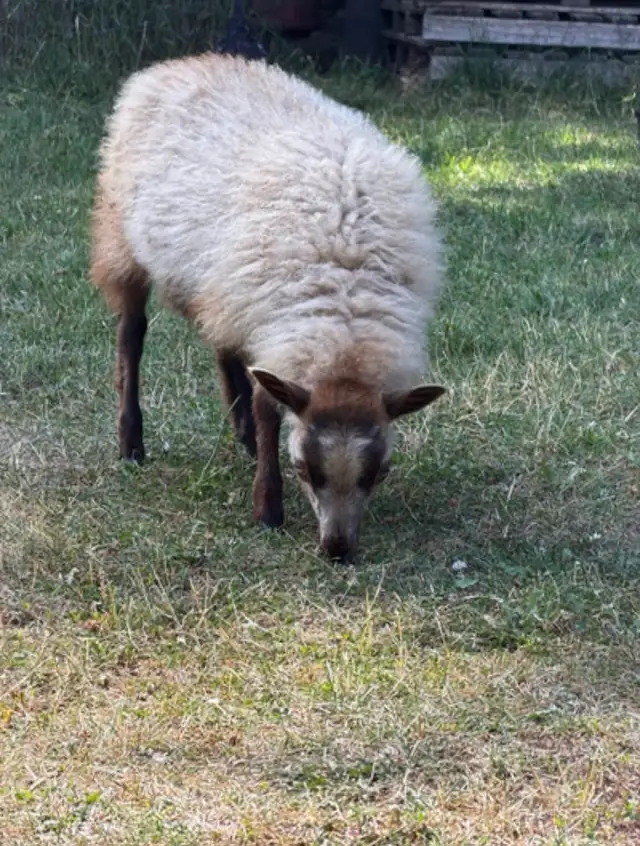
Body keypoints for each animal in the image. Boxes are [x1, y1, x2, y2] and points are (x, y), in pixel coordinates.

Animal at [90, 52, 446, 562]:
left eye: (379, 472)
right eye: (304, 469)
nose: (337, 550)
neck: (345, 313)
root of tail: (176, 63)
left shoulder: (266, 314)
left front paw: (257, 451)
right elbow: (266, 408)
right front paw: (267, 510)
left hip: (225, 285)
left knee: (222, 345)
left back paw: (243, 437)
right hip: (122, 239)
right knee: (131, 337)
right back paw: (131, 442)